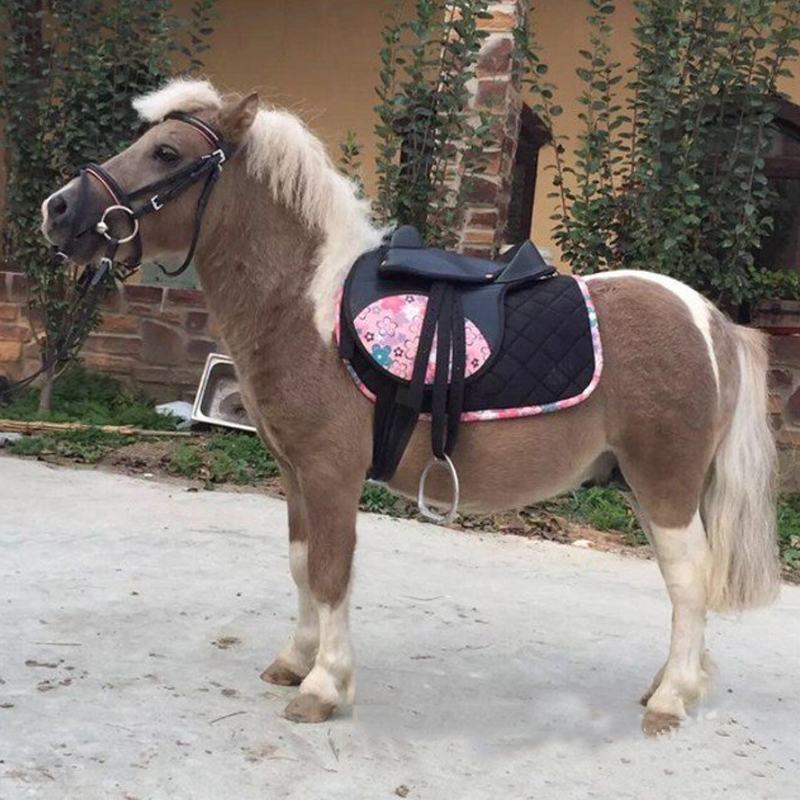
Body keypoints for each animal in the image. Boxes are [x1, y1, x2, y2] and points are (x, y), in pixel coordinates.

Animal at [40, 78, 780, 736]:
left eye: (166, 152)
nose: (59, 209)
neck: (306, 307)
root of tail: (712, 319)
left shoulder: (331, 473)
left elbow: (332, 571)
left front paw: (323, 686)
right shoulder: (295, 474)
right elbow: (302, 564)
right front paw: (295, 661)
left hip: (665, 484)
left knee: (689, 582)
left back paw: (672, 699)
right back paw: (668, 685)